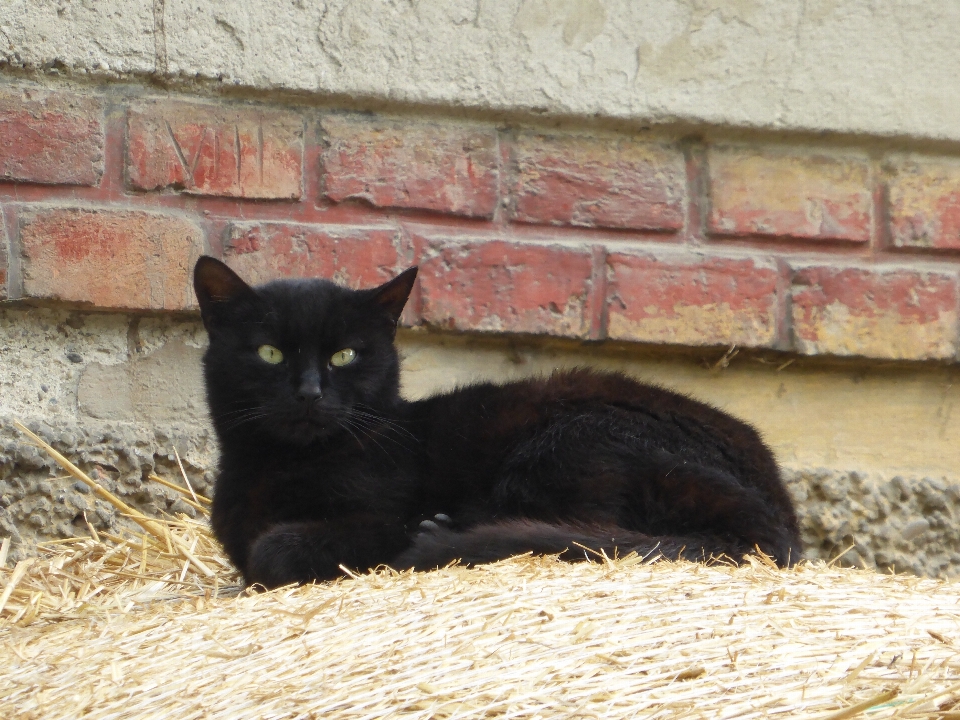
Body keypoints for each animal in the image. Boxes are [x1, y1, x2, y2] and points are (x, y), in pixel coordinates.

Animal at [195, 256, 804, 588]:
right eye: (270, 353)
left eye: (344, 355)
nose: (309, 393)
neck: (279, 467)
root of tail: (779, 515)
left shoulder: (380, 517)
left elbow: (272, 550)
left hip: (568, 442)